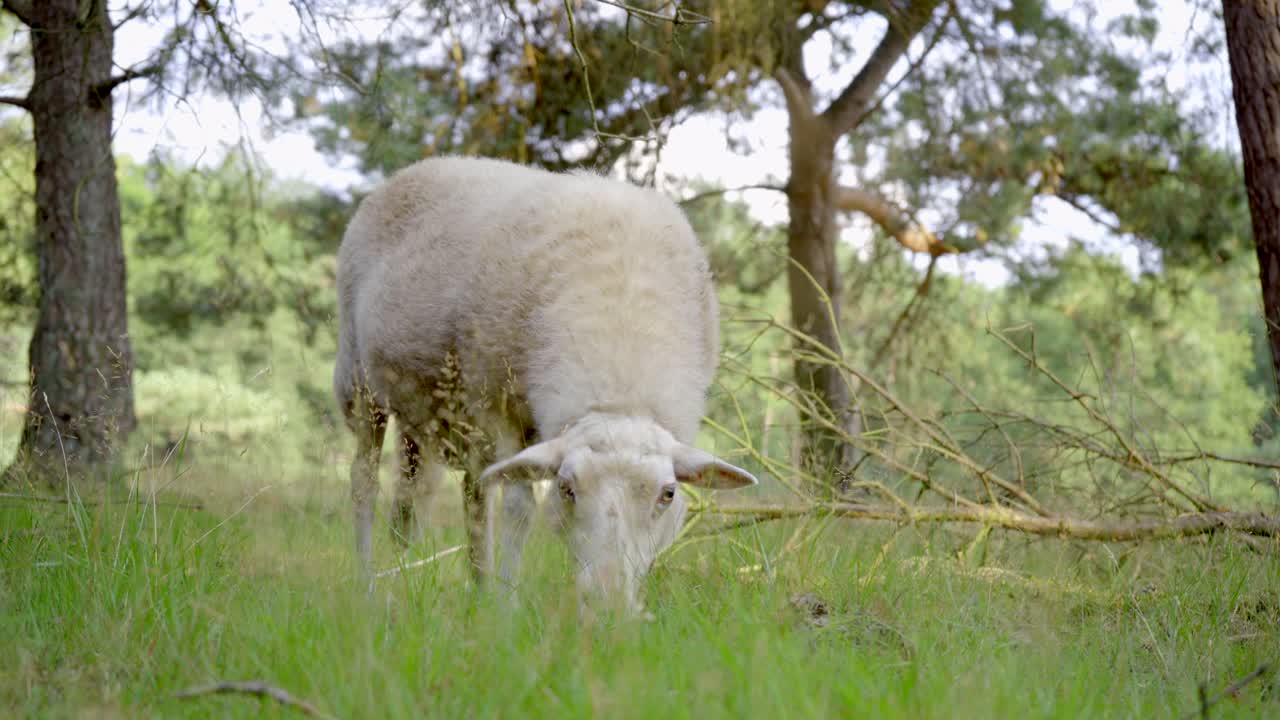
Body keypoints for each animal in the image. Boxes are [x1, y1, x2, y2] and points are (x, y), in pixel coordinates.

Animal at [334, 155, 757, 612]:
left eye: (669, 494)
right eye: (567, 488)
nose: (608, 600)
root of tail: (422, 166)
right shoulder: (498, 406)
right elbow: (519, 509)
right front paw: (506, 608)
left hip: (428, 418)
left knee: (435, 500)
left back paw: (460, 588)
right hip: (361, 384)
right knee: (365, 483)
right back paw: (368, 585)